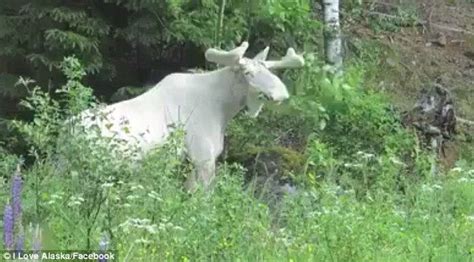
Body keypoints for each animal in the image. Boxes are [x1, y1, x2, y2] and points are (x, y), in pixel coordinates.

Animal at [75, 42, 304, 190]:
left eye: (270, 72)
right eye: (248, 73)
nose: (281, 93)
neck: (223, 110)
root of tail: (69, 133)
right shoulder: (203, 158)